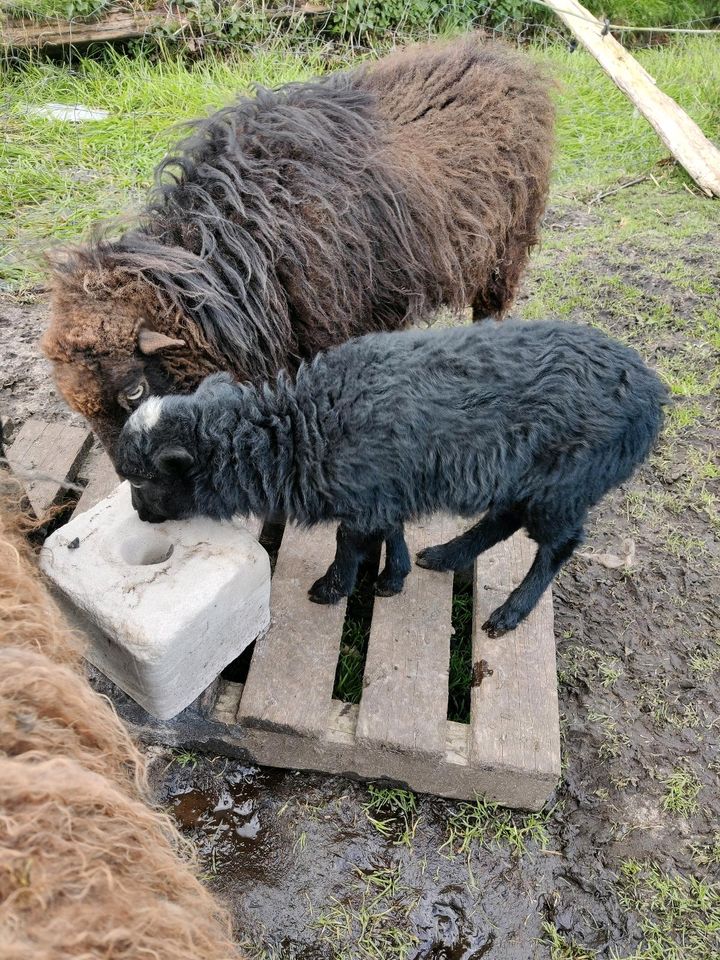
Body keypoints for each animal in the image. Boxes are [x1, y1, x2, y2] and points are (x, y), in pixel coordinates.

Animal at [116, 322, 664, 636]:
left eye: (142, 482)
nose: (139, 515)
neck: (304, 427)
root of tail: (654, 396)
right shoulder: (383, 489)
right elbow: (389, 529)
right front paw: (393, 577)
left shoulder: (367, 492)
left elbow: (349, 541)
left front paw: (331, 589)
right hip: (525, 480)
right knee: (503, 519)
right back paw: (445, 556)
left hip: (564, 484)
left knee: (557, 546)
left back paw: (509, 613)